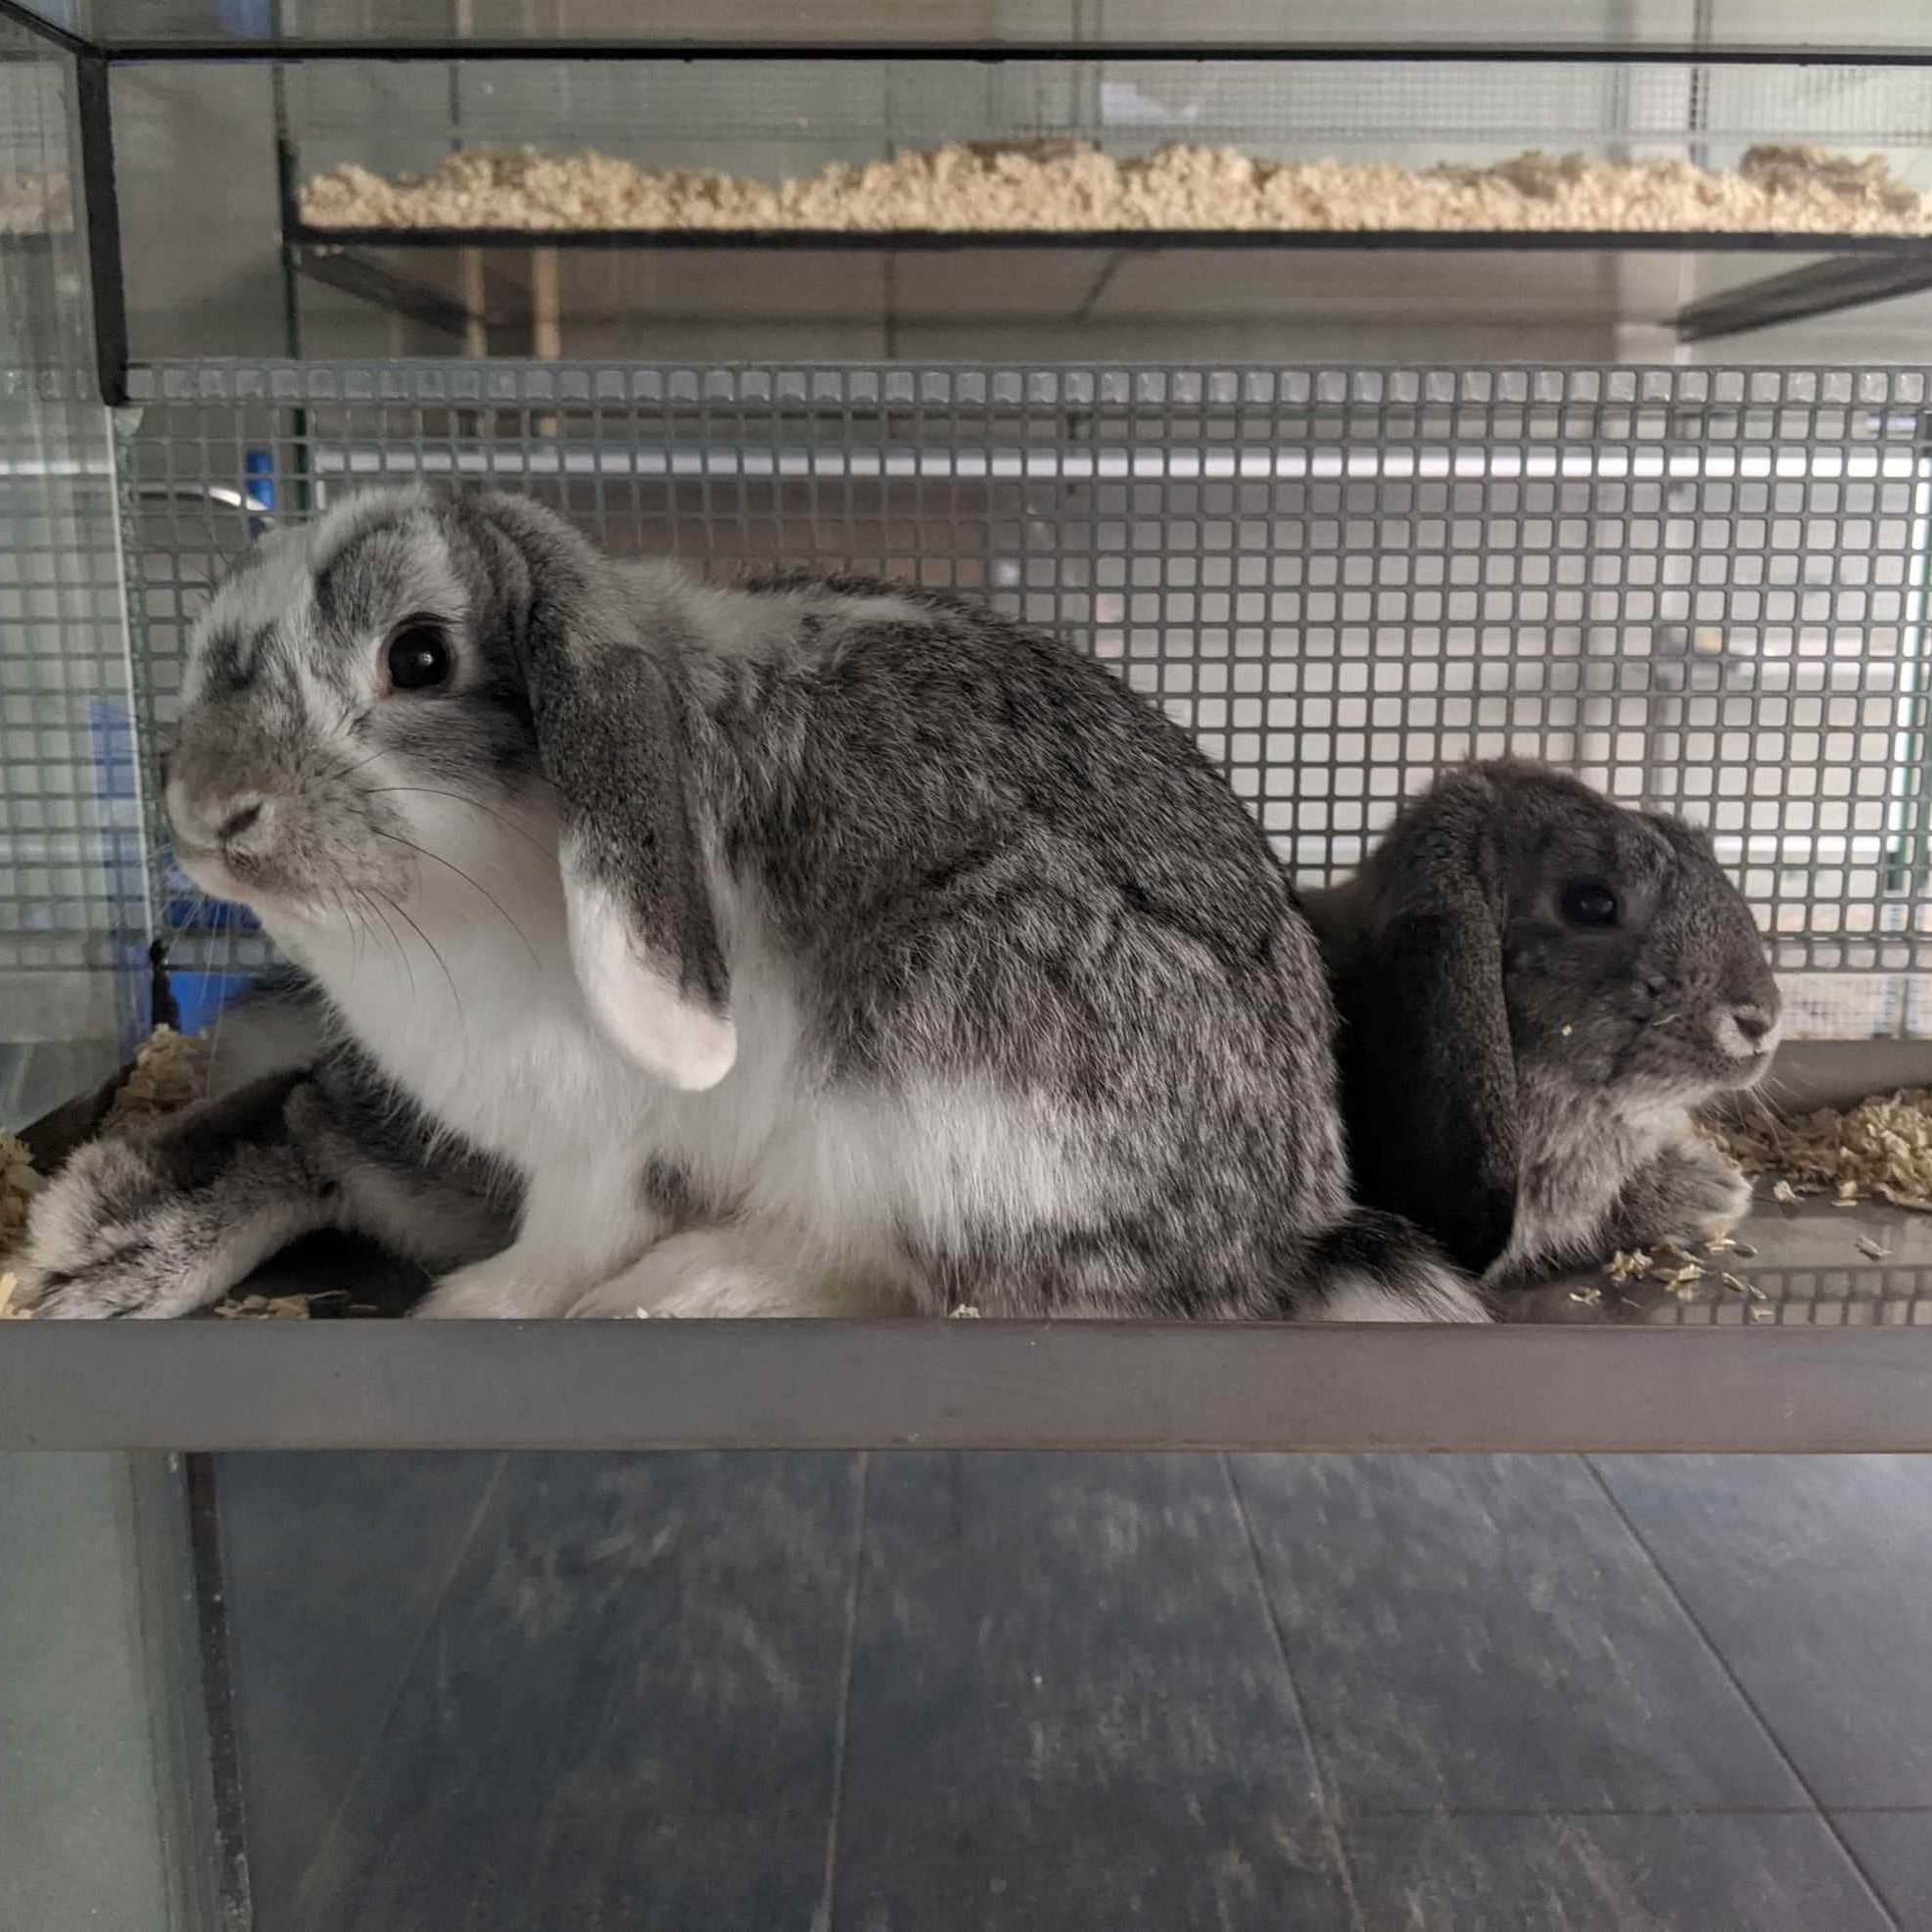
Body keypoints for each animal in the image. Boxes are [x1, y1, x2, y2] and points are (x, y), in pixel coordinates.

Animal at [22, 485, 1483, 1323]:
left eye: (419, 656)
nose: (208, 811)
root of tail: (1287, 1226)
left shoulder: (602, 1150)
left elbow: (570, 1238)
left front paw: (478, 1308)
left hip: (937, 1070)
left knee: (889, 1267)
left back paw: (678, 1293)